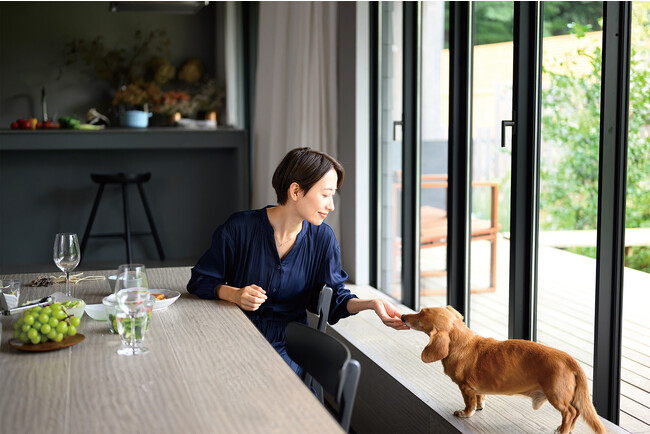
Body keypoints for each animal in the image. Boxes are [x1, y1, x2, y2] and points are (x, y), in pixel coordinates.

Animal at [402, 306, 605, 434]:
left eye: (419, 317)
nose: (403, 316)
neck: (463, 342)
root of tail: (570, 359)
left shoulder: (466, 387)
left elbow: (469, 404)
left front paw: (465, 414)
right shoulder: (477, 389)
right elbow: (480, 398)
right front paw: (480, 406)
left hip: (556, 395)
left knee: (570, 412)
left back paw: (563, 430)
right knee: (576, 412)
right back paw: (568, 428)